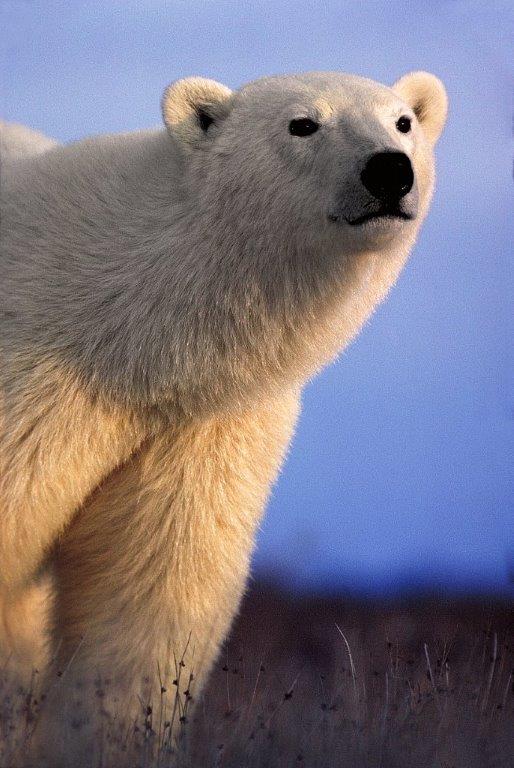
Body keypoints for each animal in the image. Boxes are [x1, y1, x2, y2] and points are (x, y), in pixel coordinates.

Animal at [0, 70, 447, 764]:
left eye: (402, 120)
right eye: (302, 123)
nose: (389, 170)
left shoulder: (202, 428)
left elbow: (153, 594)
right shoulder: (35, 381)